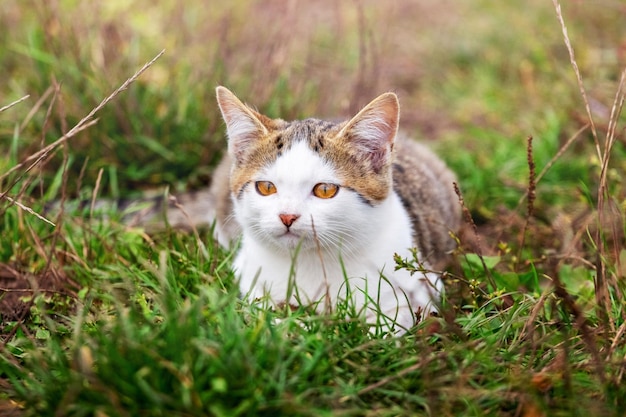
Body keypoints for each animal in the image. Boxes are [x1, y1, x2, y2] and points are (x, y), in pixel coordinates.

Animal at [210, 86, 458, 330]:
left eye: (325, 190)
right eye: (266, 187)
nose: (287, 216)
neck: (311, 261)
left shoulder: (424, 283)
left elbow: (395, 319)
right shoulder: (246, 271)